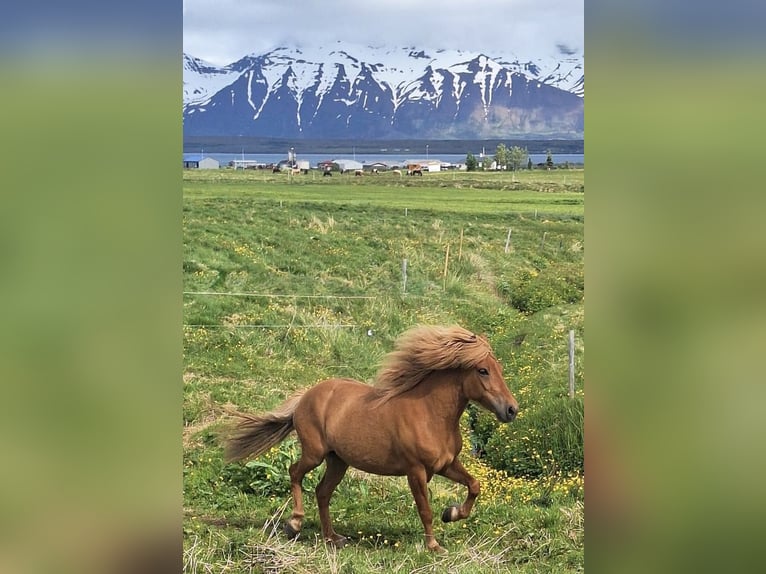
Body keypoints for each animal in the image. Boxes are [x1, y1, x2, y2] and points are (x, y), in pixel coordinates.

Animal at [223, 325, 519, 553]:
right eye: (483, 370)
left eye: (499, 368)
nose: (511, 410)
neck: (429, 415)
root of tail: (306, 396)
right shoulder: (416, 471)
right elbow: (425, 509)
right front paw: (434, 546)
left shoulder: (446, 465)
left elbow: (475, 485)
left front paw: (452, 514)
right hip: (314, 453)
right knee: (295, 472)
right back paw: (294, 524)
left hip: (338, 461)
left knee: (322, 492)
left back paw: (332, 538)